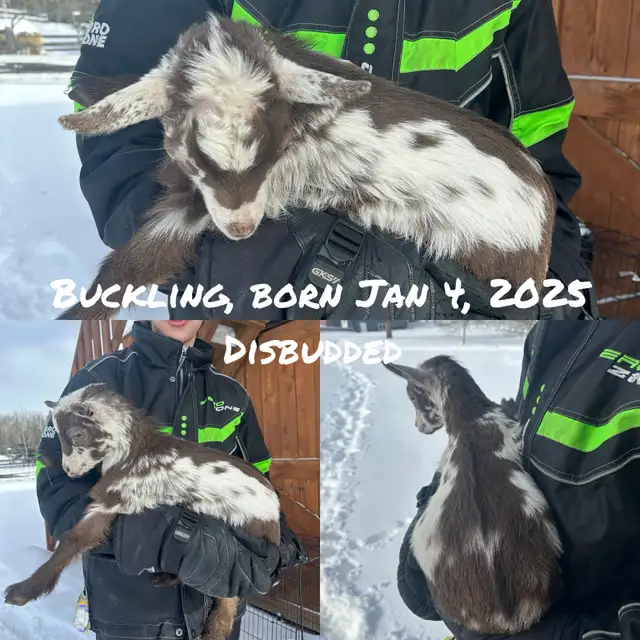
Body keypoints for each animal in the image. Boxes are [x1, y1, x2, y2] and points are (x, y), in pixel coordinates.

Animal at [57, 12, 555, 320]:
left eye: (273, 154)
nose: (242, 230)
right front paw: (89, 87)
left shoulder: (214, 205)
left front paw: (77, 314)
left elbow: (139, 261)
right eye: (193, 158)